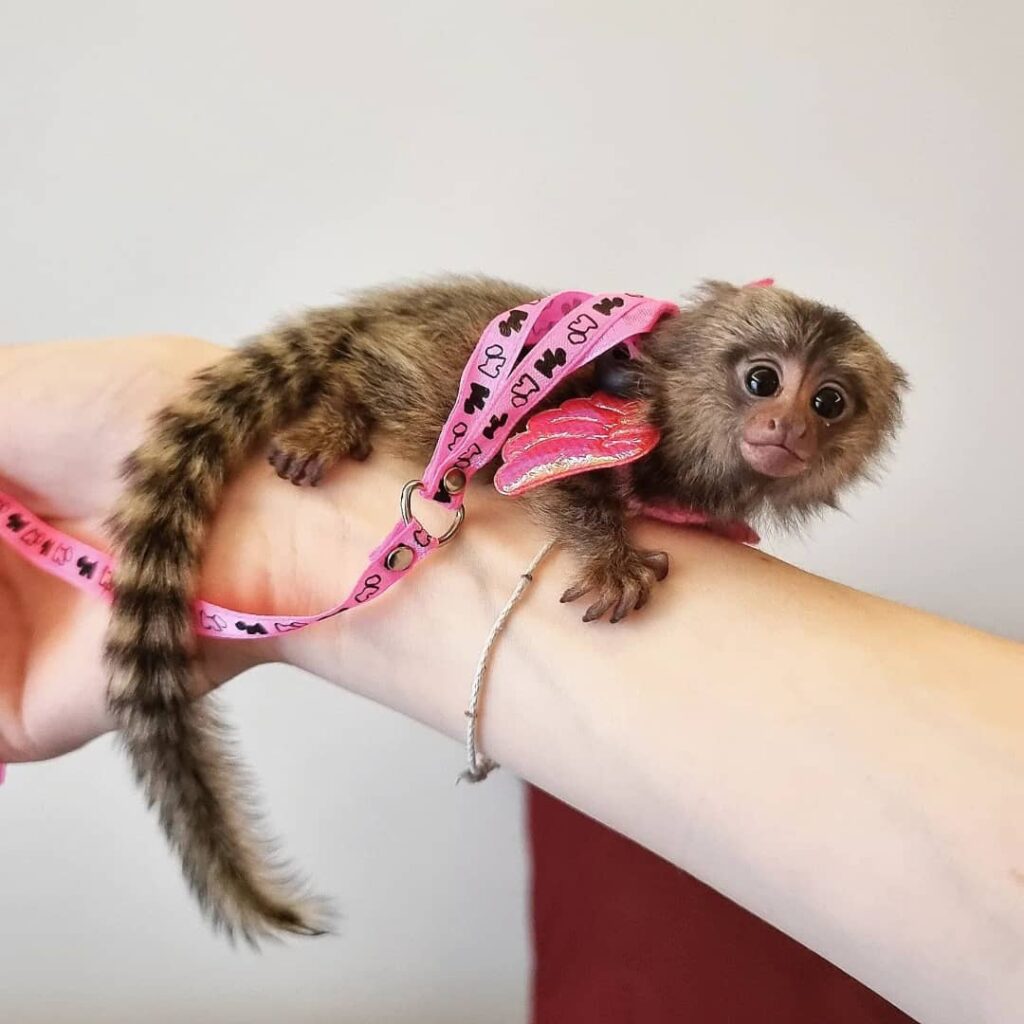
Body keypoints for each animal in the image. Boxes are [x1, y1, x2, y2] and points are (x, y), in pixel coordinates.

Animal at [102, 275, 908, 943]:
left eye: (829, 402)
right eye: (762, 380)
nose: (790, 429)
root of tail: (381, 307)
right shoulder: (598, 416)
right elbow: (546, 467)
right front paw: (611, 557)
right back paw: (334, 415)